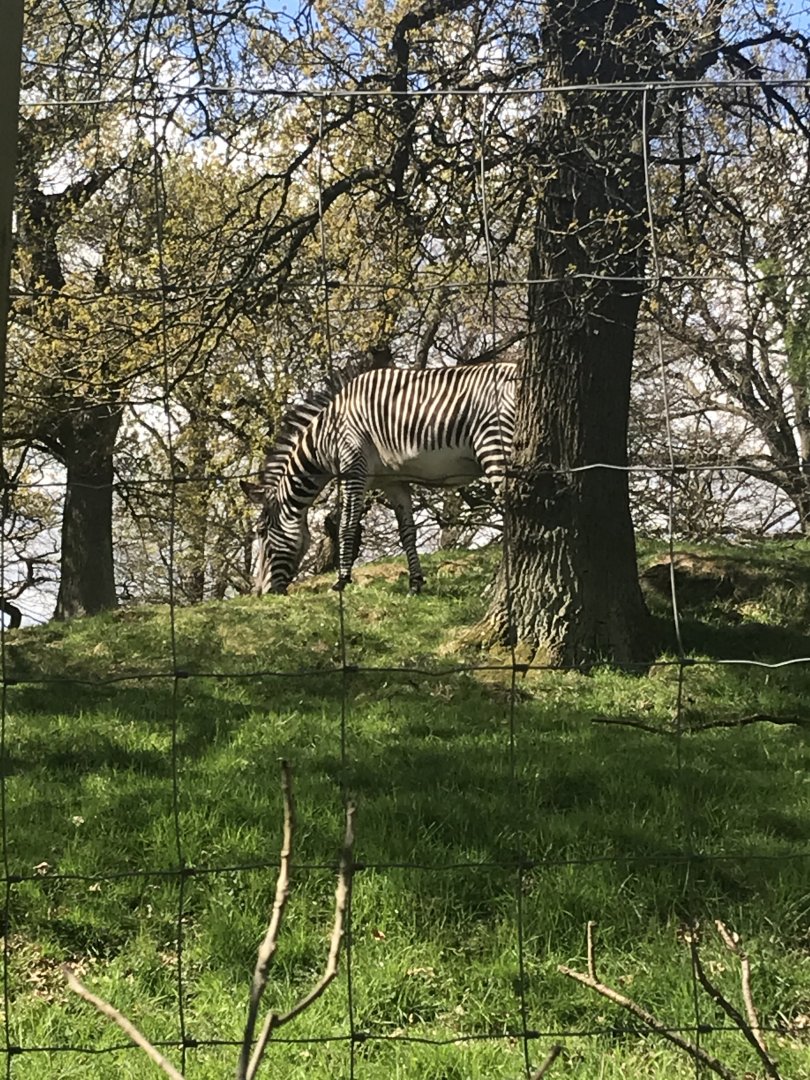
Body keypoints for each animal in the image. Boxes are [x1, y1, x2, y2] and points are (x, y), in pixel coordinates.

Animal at [242, 362, 516, 595]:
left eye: (261, 532)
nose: (260, 593)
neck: (326, 434)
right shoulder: (393, 482)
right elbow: (407, 532)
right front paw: (415, 584)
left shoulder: (353, 467)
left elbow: (346, 526)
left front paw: (341, 581)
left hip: (494, 448)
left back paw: (494, 586)